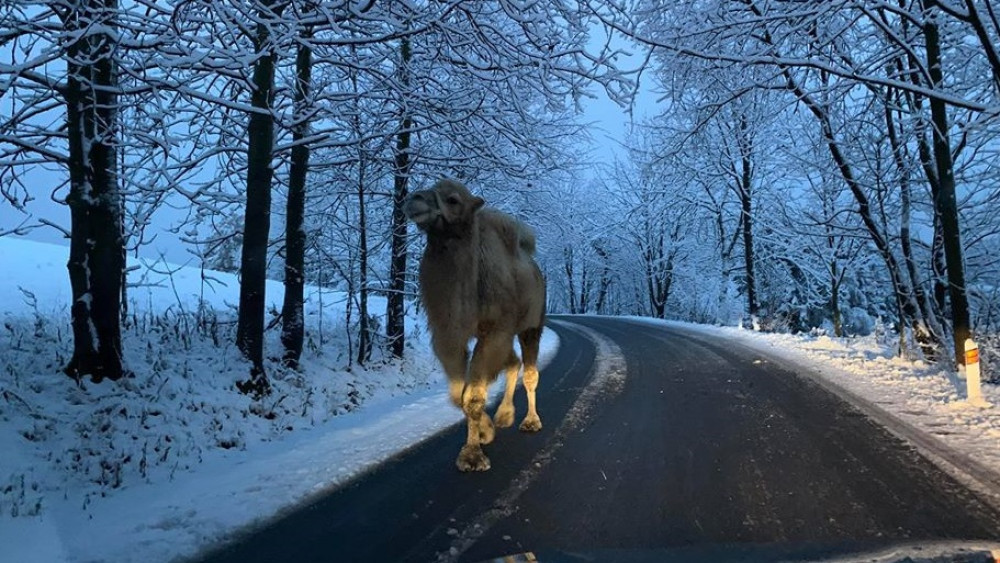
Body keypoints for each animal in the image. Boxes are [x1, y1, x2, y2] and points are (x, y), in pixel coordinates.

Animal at [404, 180, 548, 472]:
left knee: (529, 372)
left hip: (531, 324)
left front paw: (472, 455)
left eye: (453, 199)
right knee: (513, 362)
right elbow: (459, 394)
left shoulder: (494, 331)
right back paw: (504, 416)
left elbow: (473, 395)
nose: (415, 199)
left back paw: (530, 422)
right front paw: (485, 432)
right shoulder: (448, 335)